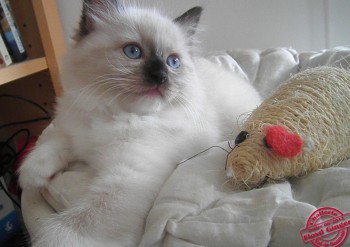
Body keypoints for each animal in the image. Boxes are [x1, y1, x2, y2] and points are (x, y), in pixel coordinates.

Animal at [18, 0, 260, 246]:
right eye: (133, 52)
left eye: (173, 62)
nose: (161, 76)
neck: (113, 113)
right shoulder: (75, 130)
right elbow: (54, 142)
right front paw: (32, 175)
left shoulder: (127, 178)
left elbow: (71, 228)